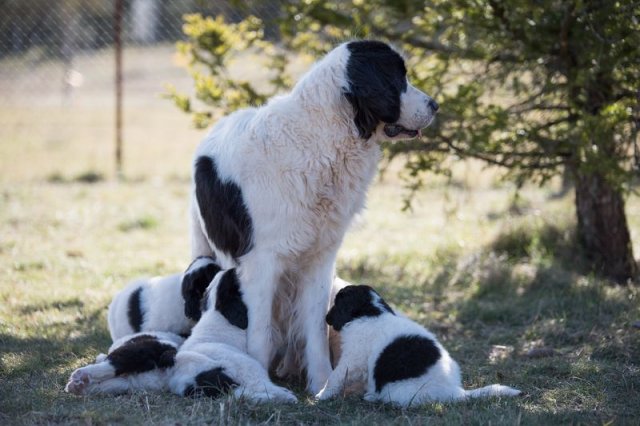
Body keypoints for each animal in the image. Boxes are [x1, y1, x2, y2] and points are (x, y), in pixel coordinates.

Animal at [185, 40, 438, 393]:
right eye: (397, 78)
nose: (435, 105)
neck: (323, 139)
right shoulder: (261, 263)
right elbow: (259, 331)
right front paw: (261, 381)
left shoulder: (320, 258)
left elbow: (316, 326)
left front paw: (320, 383)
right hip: (202, 244)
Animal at [317, 285, 521, 407]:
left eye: (337, 303)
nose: (326, 318)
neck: (371, 311)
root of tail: (456, 392)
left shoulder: (354, 359)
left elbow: (335, 377)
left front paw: (321, 395)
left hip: (399, 390)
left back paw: (374, 398)